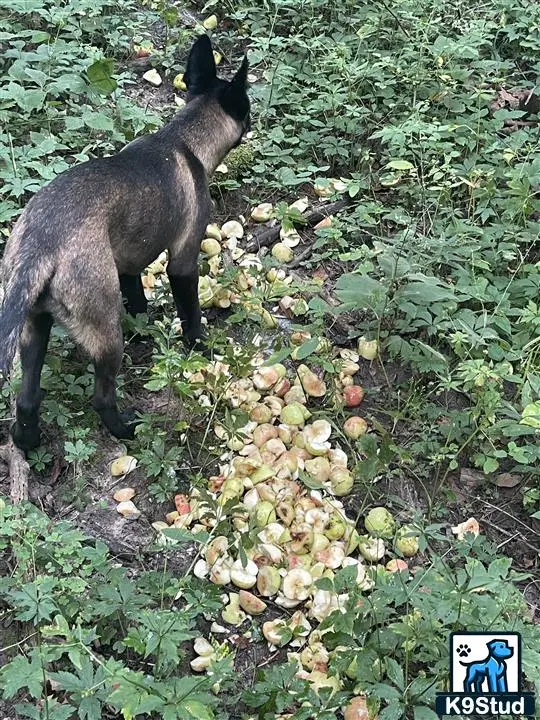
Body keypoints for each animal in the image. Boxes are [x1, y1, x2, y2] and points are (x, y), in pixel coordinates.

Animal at [0, 36, 251, 450]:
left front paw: (143, 325)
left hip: (34, 328)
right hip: (104, 334)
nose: (254, 121)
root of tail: (40, 246)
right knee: (102, 396)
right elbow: (191, 314)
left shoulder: (129, 263)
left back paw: (28, 442)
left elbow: (138, 296)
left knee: (27, 398)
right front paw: (201, 346)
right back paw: (126, 430)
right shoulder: (183, 262)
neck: (183, 139)